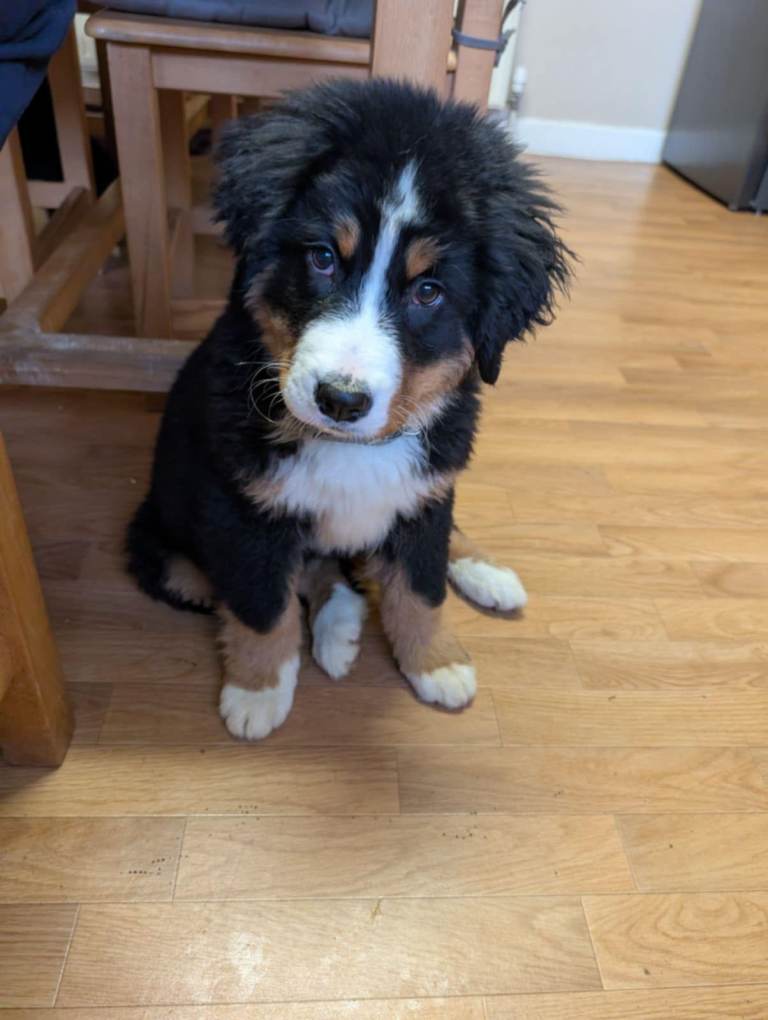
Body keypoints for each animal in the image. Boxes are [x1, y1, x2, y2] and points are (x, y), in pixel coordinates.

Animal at [127, 78, 570, 740]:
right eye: (322, 258)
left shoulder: (425, 489)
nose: (340, 399)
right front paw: (258, 690)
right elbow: (262, 605)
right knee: (273, 574)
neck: (348, 448)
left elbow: (421, 587)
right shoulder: (240, 510)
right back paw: (337, 623)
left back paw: (481, 574)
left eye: (428, 291)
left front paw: (436, 662)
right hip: (163, 549)